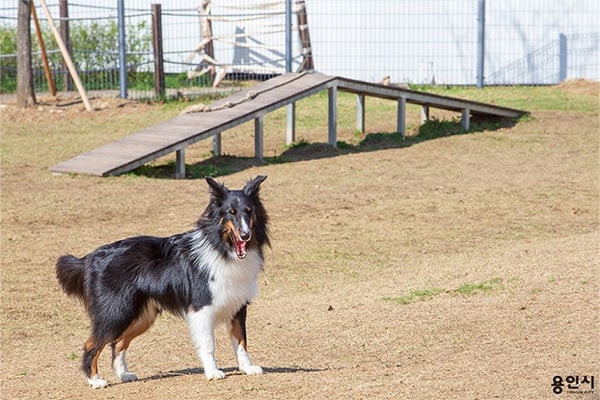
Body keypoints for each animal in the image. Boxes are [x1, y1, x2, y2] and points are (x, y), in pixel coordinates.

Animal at [55, 175, 270, 388]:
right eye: (231, 212)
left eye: (249, 211)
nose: (245, 235)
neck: (222, 247)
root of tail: (90, 257)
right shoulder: (202, 308)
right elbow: (209, 344)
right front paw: (212, 372)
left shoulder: (238, 306)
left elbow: (241, 341)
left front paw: (247, 368)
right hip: (115, 312)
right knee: (92, 344)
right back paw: (95, 380)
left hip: (140, 316)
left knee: (118, 344)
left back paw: (124, 374)